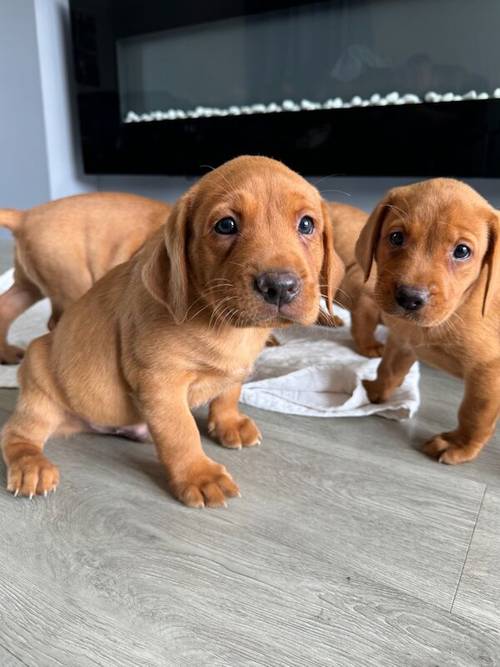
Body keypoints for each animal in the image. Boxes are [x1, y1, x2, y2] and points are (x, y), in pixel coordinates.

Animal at [358, 180, 498, 468]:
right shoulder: (403, 340)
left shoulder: (488, 370)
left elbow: (475, 413)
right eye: (396, 237)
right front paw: (377, 392)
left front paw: (460, 444)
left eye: (462, 251)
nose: (410, 298)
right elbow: (388, 369)